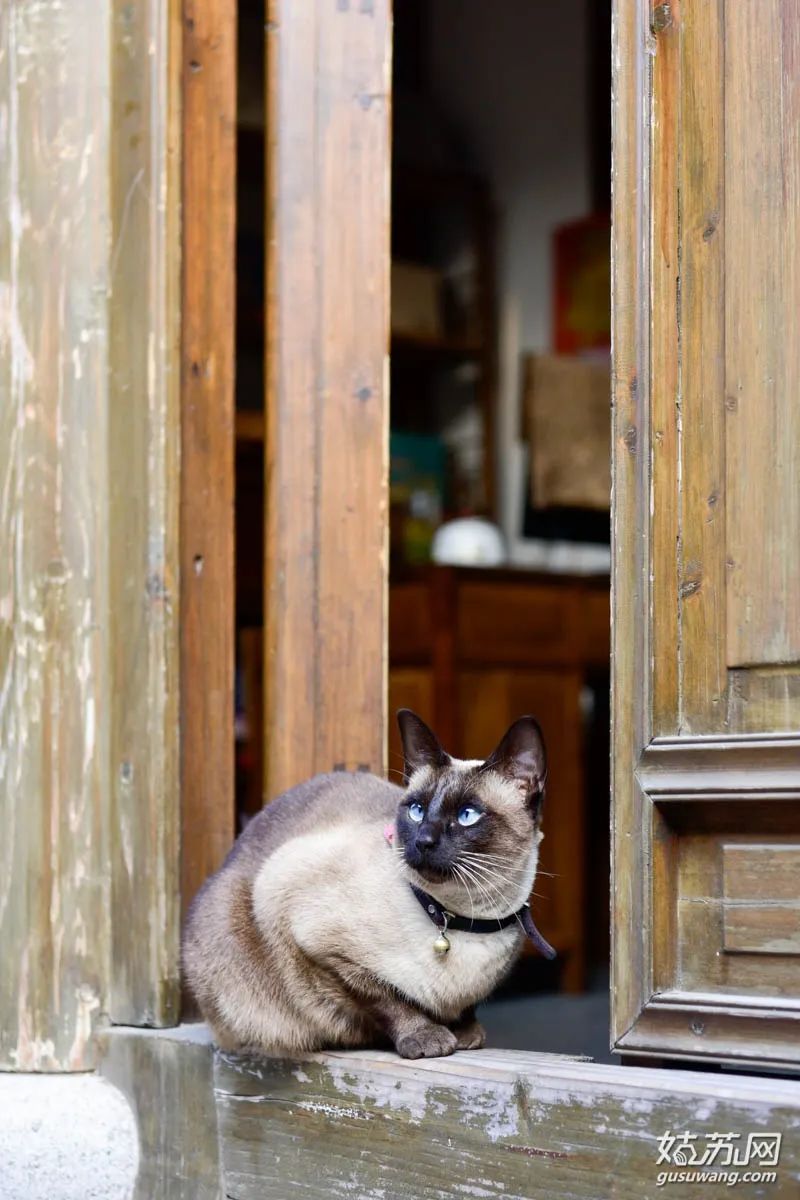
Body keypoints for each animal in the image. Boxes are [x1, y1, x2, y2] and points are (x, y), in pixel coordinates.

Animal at [183, 710, 554, 1060]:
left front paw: (466, 1033)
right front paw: (427, 1038)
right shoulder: (316, 942)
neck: (463, 918)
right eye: (416, 811)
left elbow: (465, 1007)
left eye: (467, 815)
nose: (423, 841)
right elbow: (386, 999)